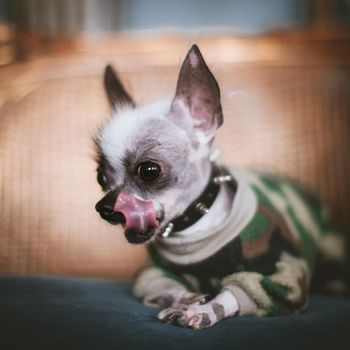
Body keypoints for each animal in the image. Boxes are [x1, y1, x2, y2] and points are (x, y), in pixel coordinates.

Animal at [93, 45, 348, 330]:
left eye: (149, 171)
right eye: (101, 177)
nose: (103, 207)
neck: (194, 227)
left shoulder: (286, 277)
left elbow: (234, 292)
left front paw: (205, 310)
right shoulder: (153, 274)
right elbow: (167, 287)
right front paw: (185, 299)